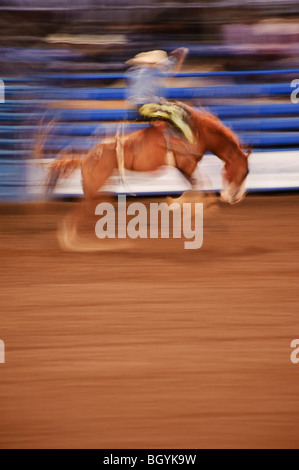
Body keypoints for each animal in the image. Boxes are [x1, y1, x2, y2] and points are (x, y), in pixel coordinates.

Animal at [44, 103, 251, 250]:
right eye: (245, 172)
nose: (236, 198)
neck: (198, 132)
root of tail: (85, 158)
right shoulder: (187, 163)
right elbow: (201, 187)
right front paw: (196, 209)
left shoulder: (183, 167)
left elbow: (194, 188)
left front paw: (180, 206)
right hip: (94, 190)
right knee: (76, 215)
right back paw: (74, 243)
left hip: (99, 191)